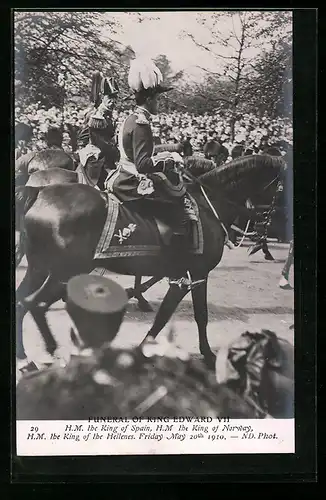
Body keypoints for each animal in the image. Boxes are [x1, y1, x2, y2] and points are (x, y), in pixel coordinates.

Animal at [15, 155, 286, 372]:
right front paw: (208, 356)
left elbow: (164, 315)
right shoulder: (196, 275)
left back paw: (25, 358)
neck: (209, 205)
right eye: (282, 187)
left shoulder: (181, 277)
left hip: (40, 269)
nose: (270, 227)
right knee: (36, 304)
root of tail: (39, 193)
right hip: (64, 273)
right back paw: (54, 351)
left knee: (22, 303)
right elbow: (193, 315)